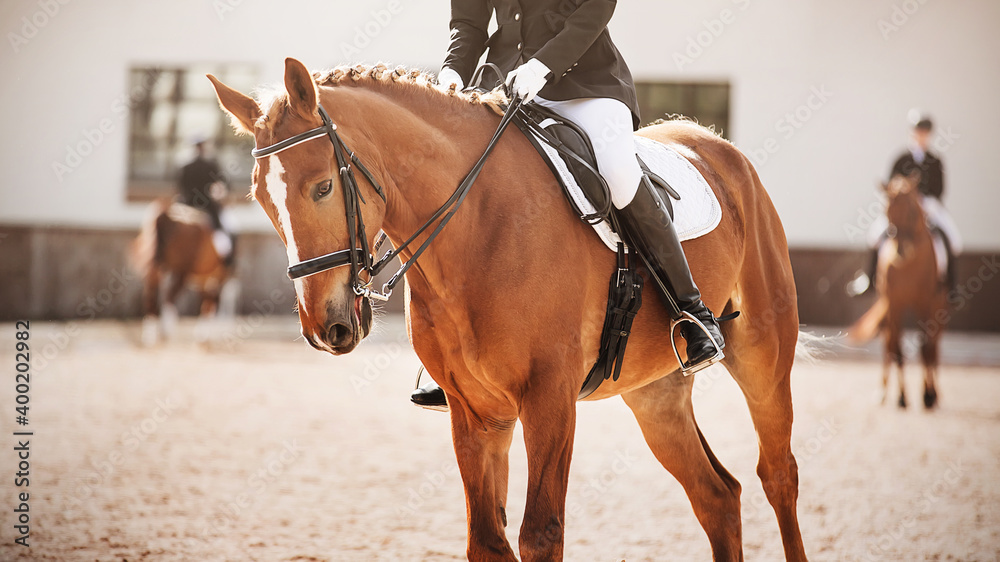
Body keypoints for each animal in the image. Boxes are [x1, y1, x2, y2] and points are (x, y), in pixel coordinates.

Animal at [131, 198, 233, 346]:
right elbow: (209, 304)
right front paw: (203, 334)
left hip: (156, 269)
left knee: (153, 298)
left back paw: (151, 336)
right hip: (182, 272)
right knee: (170, 297)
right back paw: (166, 330)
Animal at [209, 58, 808, 561]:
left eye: (323, 187)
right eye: (261, 200)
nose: (325, 327)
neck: (476, 226)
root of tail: (716, 144)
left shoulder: (550, 399)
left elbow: (540, 535)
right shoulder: (474, 409)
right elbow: (488, 541)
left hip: (763, 357)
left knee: (778, 475)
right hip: (654, 392)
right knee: (719, 496)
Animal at [850, 173, 946, 409]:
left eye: (912, 210)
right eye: (887, 211)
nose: (901, 252)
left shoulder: (926, 304)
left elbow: (926, 347)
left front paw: (927, 395)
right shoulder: (894, 304)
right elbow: (897, 349)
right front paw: (902, 397)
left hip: (939, 307)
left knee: (934, 345)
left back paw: (935, 393)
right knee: (889, 343)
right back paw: (883, 392)